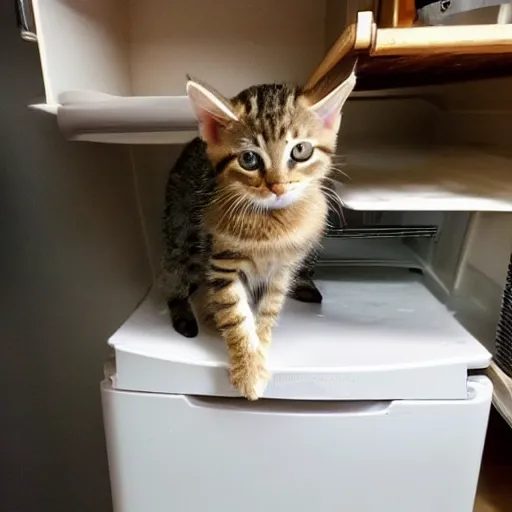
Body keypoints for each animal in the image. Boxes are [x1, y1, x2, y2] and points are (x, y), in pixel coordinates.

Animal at [162, 73, 354, 400]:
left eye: (300, 150)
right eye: (249, 159)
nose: (277, 186)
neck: (273, 225)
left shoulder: (281, 271)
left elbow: (267, 312)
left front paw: (259, 348)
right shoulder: (223, 264)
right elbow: (236, 315)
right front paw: (248, 369)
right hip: (180, 232)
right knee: (176, 278)